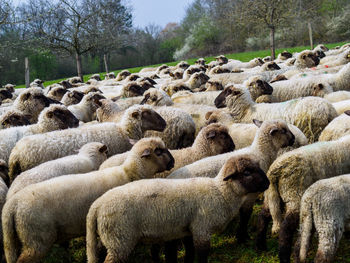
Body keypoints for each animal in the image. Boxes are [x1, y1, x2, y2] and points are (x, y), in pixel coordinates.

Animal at [1, 137, 174, 262]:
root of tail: (12, 204)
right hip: (36, 240)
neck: (129, 172)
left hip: (18, 238)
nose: (172, 162)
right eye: (158, 151)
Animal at [86, 155, 270, 263]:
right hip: (120, 240)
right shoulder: (202, 228)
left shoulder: (188, 229)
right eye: (246, 172)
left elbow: (189, 251)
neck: (220, 192)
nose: (268, 183)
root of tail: (97, 205)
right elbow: (201, 254)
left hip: (109, 238)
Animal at [254, 135, 350, 263]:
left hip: (272, 196)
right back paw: (284, 257)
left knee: (263, 216)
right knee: (286, 228)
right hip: (295, 195)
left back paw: (260, 246)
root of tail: (274, 171)